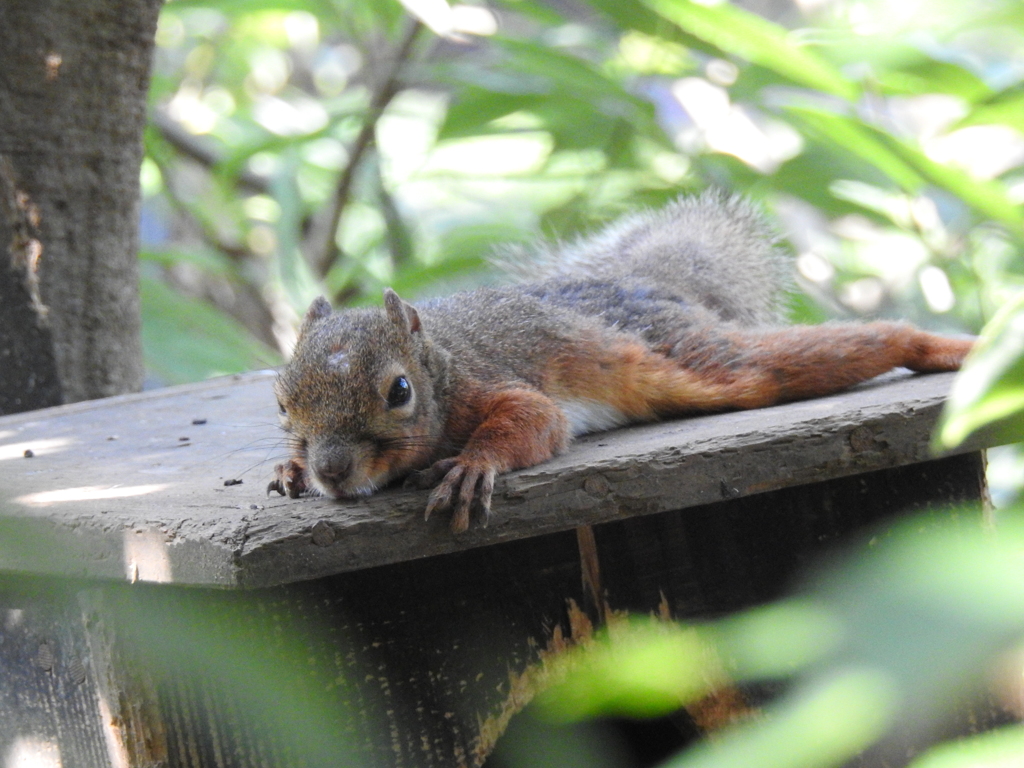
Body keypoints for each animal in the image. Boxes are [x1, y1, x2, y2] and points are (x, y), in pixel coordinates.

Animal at [268, 189, 970, 532]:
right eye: (281, 401)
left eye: (399, 392)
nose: (332, 470)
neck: (442, 364)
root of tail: (642, 285)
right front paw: (290, 470)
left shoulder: (491, 384)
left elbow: (535, 419)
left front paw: (471, 466)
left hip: (695, 357)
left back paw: (942, 348)